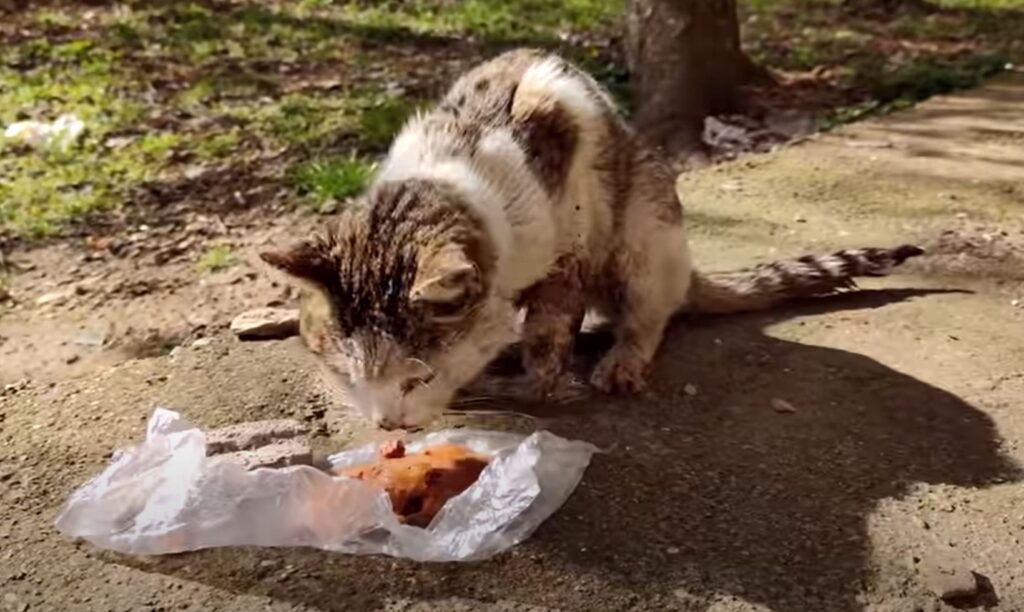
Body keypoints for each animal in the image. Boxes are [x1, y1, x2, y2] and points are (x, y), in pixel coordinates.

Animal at [262, 49, 921, 431]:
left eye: (416, 378)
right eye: (347, 378)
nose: (388, 427)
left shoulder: (565, 255)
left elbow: (547, 344)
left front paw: (523, 384)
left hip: (644, 229)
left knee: (649, 315)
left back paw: (618, 360)